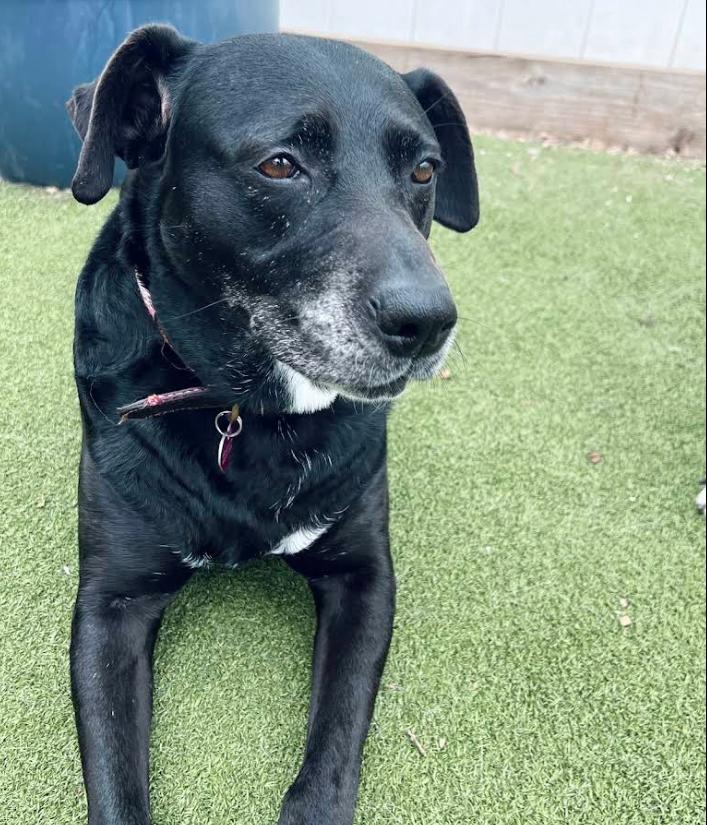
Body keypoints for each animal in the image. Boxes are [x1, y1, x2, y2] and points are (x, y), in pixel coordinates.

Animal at [66, 25, 478, 825]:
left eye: (423, 170)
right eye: (280, 164)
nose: (427, 322)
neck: (245, 408)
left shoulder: (364, 577)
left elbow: (336, 736)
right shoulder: (109, 604)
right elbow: (115, 781)